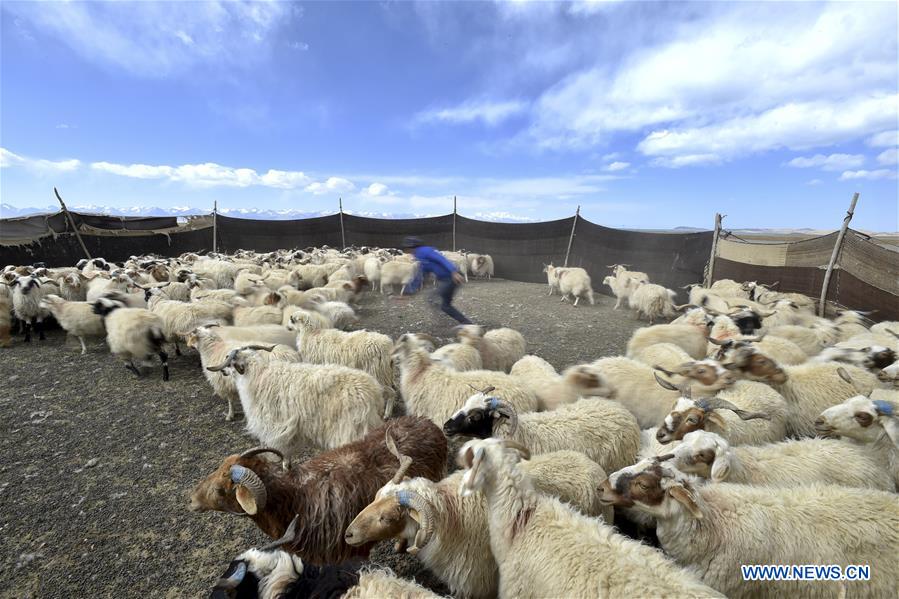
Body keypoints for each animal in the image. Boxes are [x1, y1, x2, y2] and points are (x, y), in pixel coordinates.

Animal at [344, 440, 612, 599]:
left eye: (386, 517)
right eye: (375, 497)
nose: (348, 534)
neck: (452, 514)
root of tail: (593, 468)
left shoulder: (478, 581)